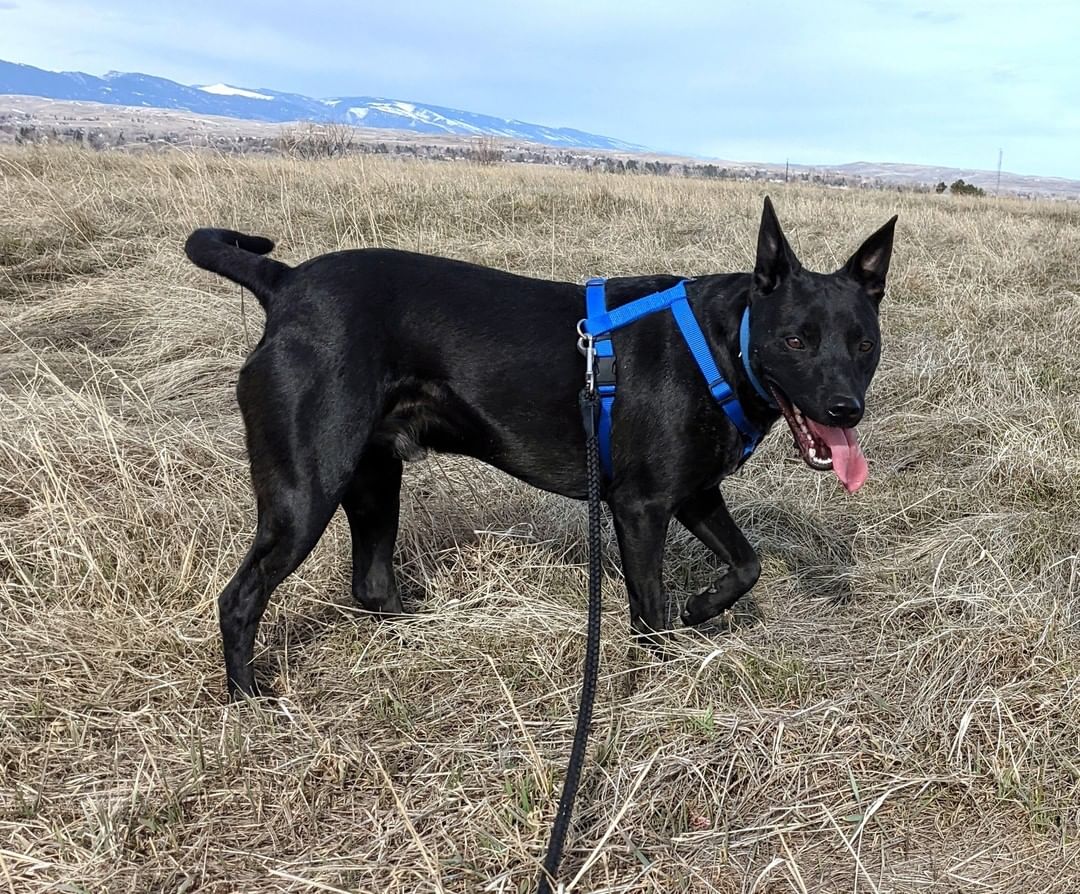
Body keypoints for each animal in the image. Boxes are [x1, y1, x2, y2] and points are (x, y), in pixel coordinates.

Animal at [183, 198, 894, 703]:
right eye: (796, 340)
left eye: (864, 344)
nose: (845, 410)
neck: (726, 341)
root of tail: (284, 283)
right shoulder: (641, 508)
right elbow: (650, 611)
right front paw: (655, 681)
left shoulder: (692, 493)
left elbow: (747, 565)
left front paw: (701, 607)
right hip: (307, 491)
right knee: (241, 598)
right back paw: (249, 700)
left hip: (375, 476)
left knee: (372, 584)